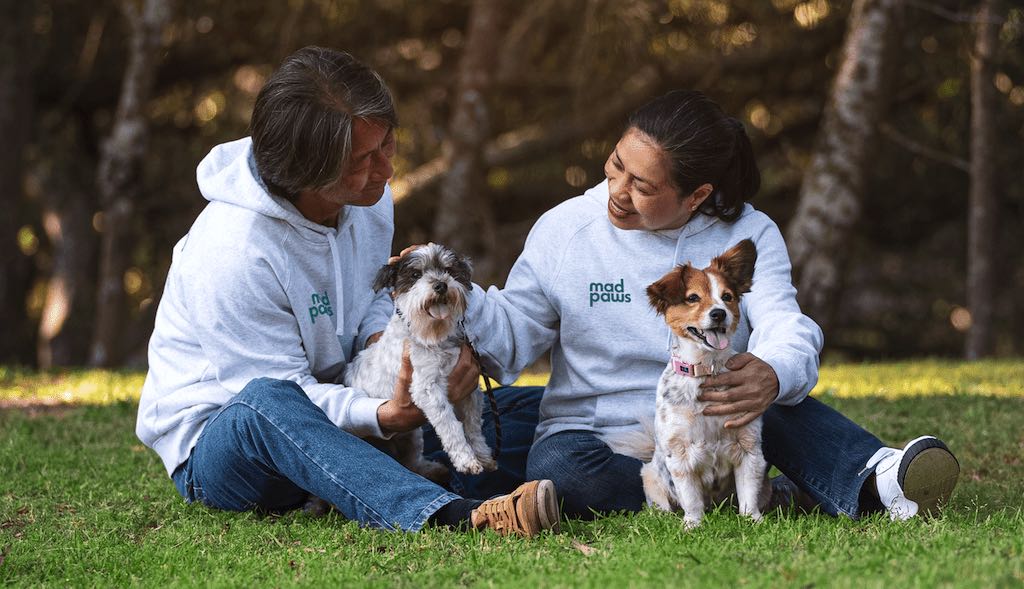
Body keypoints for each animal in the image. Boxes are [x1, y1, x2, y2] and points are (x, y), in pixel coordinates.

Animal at [342, 243, 497, 479]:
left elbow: (472, 426)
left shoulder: (470, 389)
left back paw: (431, 469)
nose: (441, 285)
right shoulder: (427, 388)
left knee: (411, 462)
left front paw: (483, 456)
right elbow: (451, 426)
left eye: (448, 270)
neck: (434, 336)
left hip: (412, 435)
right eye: (415, 275)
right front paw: (466, 460)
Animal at [606, 239, 770, 528]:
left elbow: (748, 494)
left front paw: (753, 521)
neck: (707, 369)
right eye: (693, 298)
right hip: (650, 476)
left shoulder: (749, 449)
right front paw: (693, 525)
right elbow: (691, 498)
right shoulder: (679, 455)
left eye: (727, 297)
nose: (719, 314)